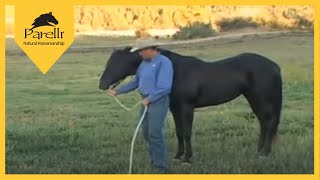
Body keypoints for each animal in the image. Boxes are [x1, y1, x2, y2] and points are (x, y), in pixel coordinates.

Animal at [99, 47, 282, 164]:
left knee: (268, 122)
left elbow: (187, 132)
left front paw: (187, 158)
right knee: (264, 123)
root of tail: (274, 66)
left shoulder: (186, 107)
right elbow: (180, 132)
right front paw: (178, 156)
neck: (175, 71)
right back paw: (259, 151)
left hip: (261, 98)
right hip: (253, 98)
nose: (102, 84)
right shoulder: (175, 108)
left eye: (117, 63)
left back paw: (265, 153)